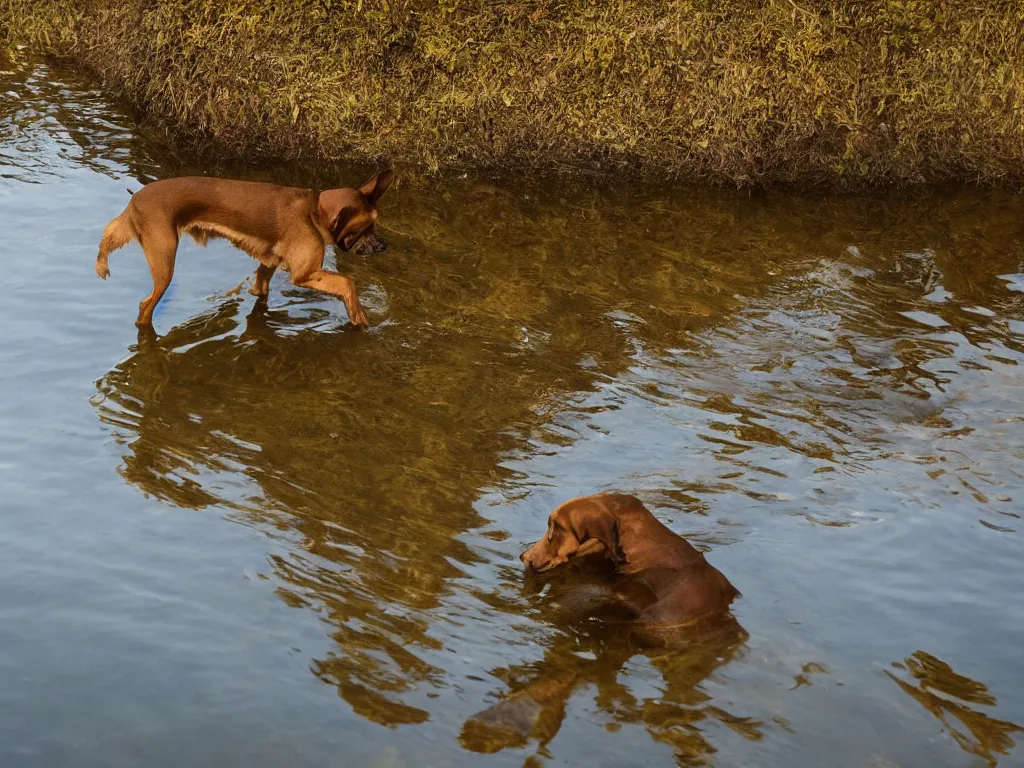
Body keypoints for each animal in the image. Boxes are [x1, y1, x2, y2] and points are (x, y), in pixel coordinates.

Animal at [96, 169, 393, 329]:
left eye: (375, 224)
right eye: (363, 229)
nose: (383, 246)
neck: (314, 211)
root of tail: (134, 201)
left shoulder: (268, 267)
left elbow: (261, 291)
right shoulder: (305, 274)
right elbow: (347, 283)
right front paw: (359, 317)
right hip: (164, 265)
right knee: (145, 306)